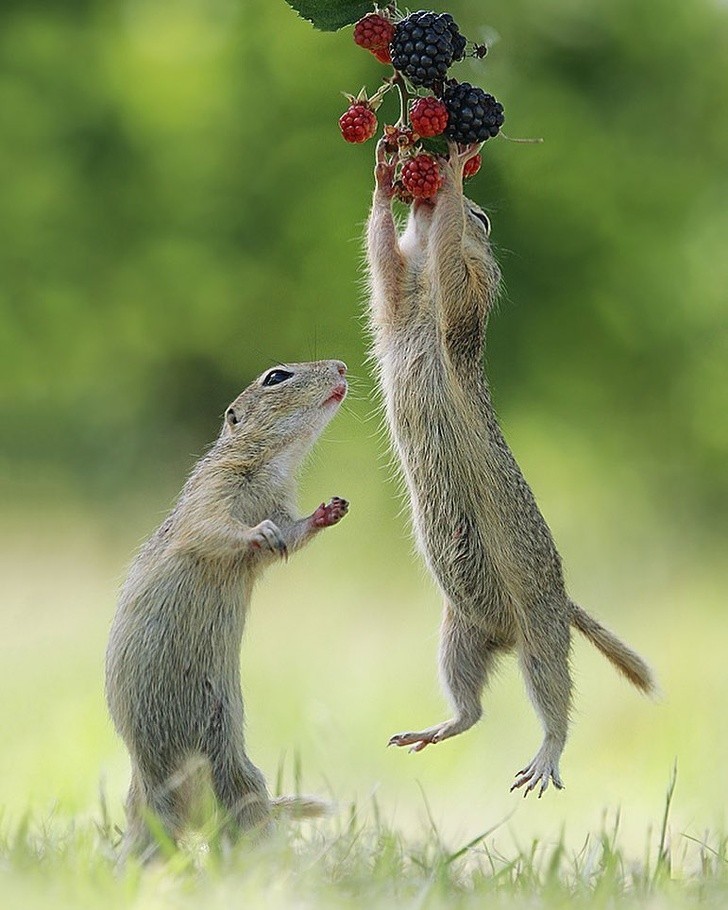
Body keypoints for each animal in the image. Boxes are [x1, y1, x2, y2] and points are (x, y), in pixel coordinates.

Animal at [104, 360, 350, 860]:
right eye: (276, 376)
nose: (342, 366)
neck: (275, 464)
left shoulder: (279, 505)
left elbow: (291, 535)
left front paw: (328, 511)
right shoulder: (212, 491)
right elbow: (214, 528)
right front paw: (259, 533)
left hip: (232, 772)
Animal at [366, 141, 656, 800]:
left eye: (484, 217)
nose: (421, 190)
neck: (421, 300)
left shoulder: (465, 296)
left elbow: (452, 263)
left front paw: (448, 177)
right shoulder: (396, 299)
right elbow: (383, 258)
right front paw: (385, 176)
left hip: (541, 636)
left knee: (555, 700)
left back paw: (546, 756)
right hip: (458, 634)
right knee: (472, 709)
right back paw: (433, 728)